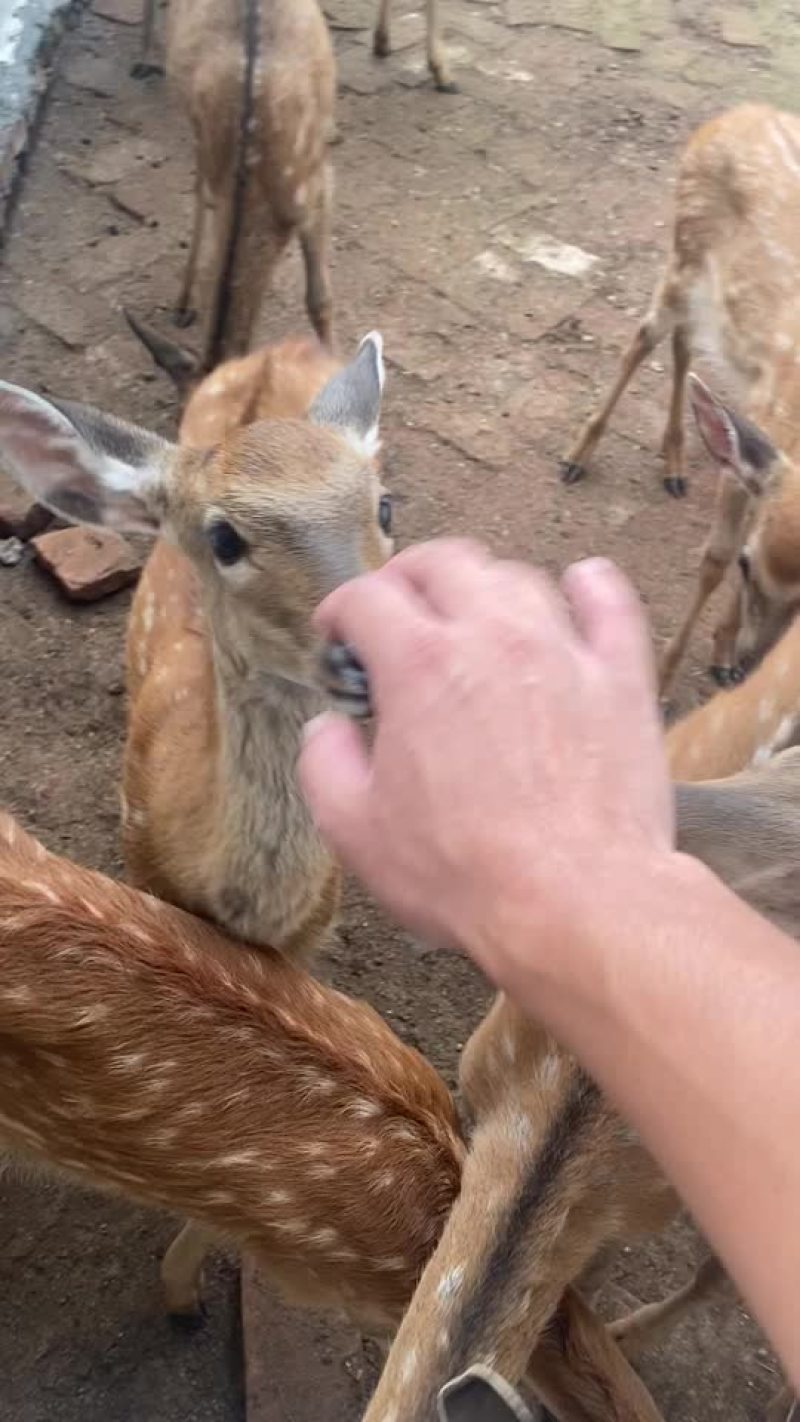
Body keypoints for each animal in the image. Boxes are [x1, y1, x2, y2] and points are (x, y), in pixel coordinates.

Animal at [558, 104, 800, 695]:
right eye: (749, 566)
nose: (755, 663)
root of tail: (732, 114)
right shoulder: (754, 451)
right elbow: (713, 559)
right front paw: (665, 682)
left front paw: (724, 657)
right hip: (683, 251)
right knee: (644, 337)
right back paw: (577, 456)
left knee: (684, 343)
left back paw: (673, 463)